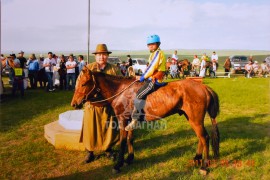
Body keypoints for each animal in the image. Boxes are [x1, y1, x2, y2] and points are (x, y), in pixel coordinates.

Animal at [70, 66, 220, 174]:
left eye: (83, 84)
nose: (74, 103)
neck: (121, 91)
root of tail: (203, 87)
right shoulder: (130, 121)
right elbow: (130, 139)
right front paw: (129, 159)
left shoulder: (122, 120)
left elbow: (123, 142)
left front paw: (118, 165)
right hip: (192, 118)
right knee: (200, 137)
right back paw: (197, 158)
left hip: (195, 119)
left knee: (205, 137)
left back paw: (204, 166)